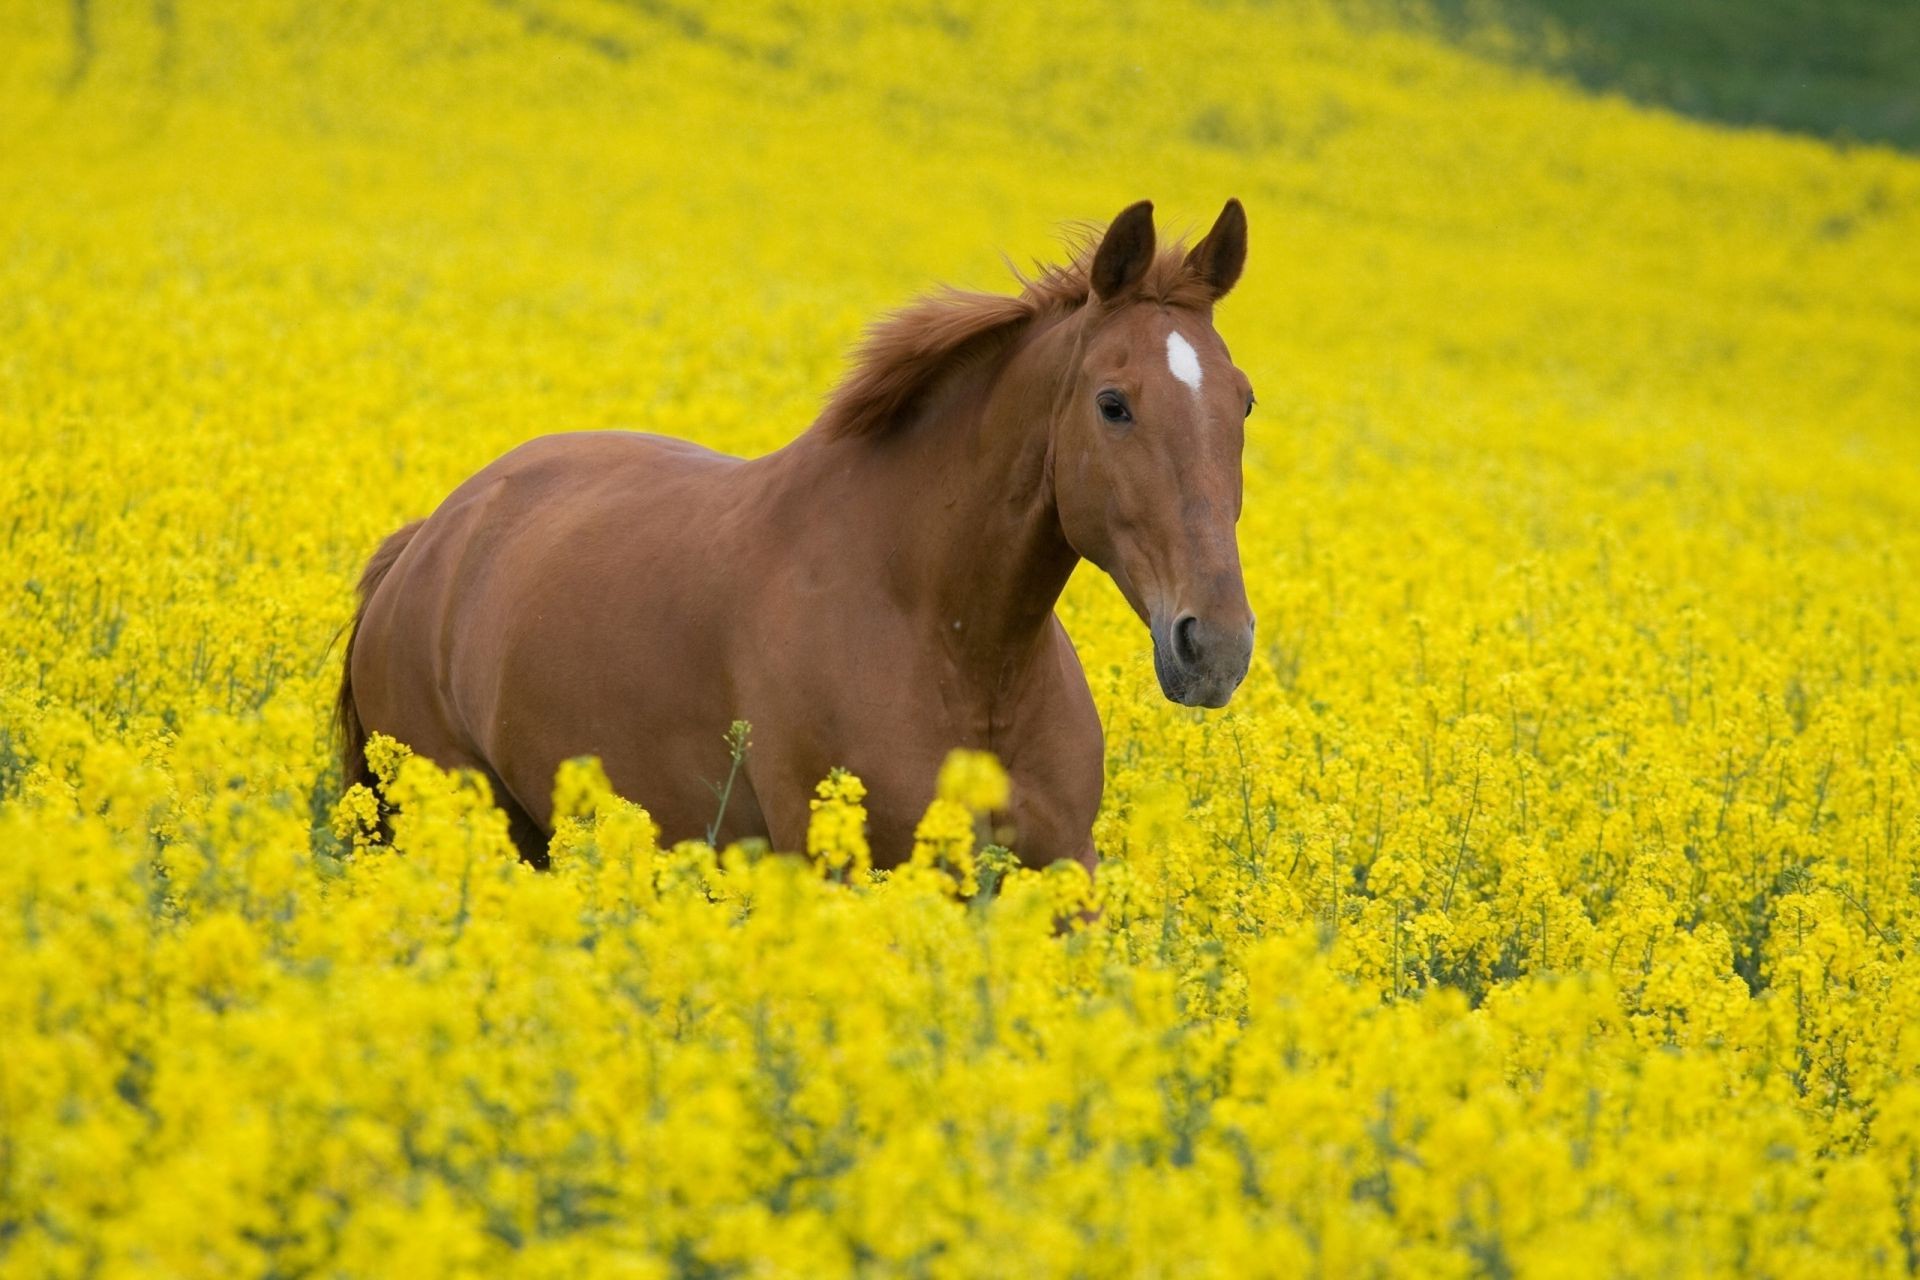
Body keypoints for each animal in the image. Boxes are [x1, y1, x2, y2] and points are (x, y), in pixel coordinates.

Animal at [336, 200, 1251, 875]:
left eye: (1242, 400)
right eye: (1112, 403)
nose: (1215, 647)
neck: (954, 644)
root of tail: (429, 540)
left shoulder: (1064, 873)